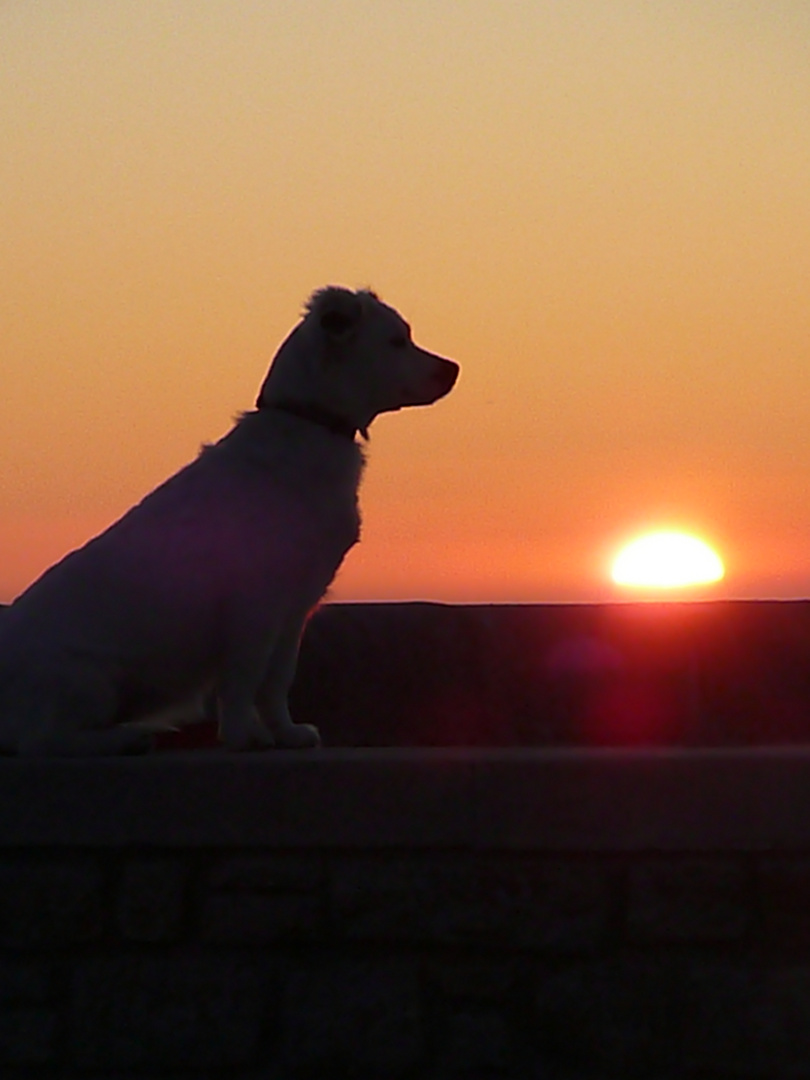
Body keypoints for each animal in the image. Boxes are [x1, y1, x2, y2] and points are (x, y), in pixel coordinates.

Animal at [0, 291, 460, 756]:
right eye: (396, 341)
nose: (453, 369)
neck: (308, 423)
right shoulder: (255, 602)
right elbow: (244, 678)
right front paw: (242, 735)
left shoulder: (295, 606)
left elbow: (277, 680)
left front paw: (286, 732)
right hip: (86, 679)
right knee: (42, 737)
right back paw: (127, 736)